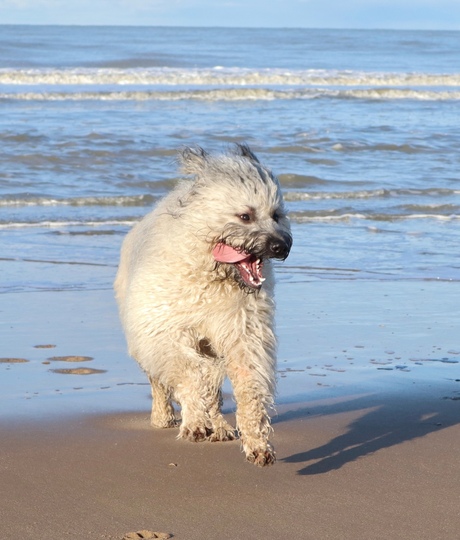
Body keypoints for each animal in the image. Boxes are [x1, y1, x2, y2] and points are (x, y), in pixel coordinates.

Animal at [114, 146, 292, 466]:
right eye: (245, 216)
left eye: (276, 215)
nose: (282, 246)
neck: (211, 273)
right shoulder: (163, 332)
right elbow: (191, 374)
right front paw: (195, 419)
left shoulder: (246, 334)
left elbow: (247, 385)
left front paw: (256, 440)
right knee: (161, 383)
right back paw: (166, 417)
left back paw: (218, 426)